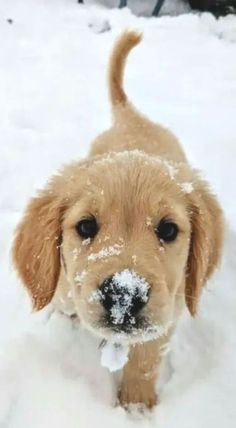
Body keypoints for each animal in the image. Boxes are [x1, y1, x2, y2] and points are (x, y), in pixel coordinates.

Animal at [12, 30, 223, 408]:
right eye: (85, 226)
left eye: (169, 229)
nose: (124, 294)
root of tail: (131, 115)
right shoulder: (65, 289)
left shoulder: (169, 310)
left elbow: (145, 359)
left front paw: (137, 405)